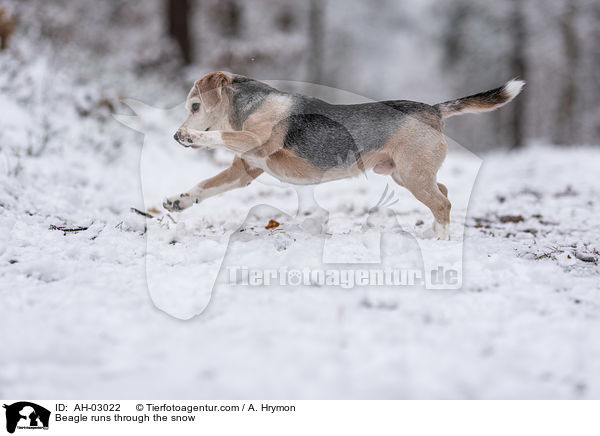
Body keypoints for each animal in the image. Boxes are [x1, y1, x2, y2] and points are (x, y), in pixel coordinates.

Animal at [164, 73, 524, 240]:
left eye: (194, 106)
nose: (175, 136)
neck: (246, 108)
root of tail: (433, 110)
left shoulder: (255, 140)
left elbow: (219, 137)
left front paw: (194, 136)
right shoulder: (244, 170)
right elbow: (205, 186)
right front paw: (178, 201)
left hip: (413, 176)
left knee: (443, 203)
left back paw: (440, 239)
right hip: (405, 174)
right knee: (444, 193)